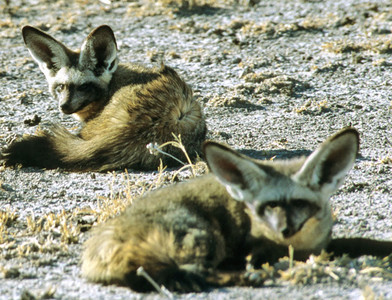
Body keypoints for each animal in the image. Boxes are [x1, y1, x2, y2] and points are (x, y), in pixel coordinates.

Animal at [81, 127, 392, 292]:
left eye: (299, 203)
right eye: (270, 205)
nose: (284, 230)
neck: (301, 243)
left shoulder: (319, 244)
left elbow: (356, 241)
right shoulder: (257, 249)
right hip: (205, 235)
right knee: (194, 270)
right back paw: (247, 277)